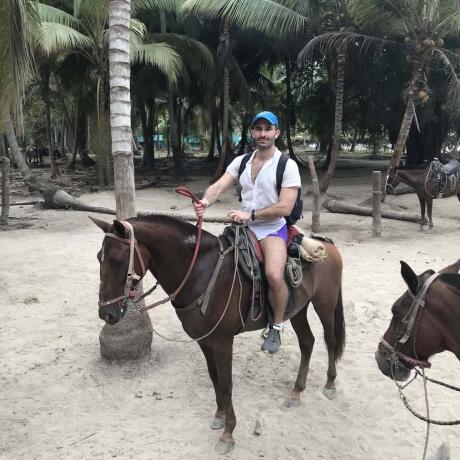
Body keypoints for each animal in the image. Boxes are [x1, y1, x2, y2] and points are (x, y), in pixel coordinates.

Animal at [92, 215, 344, 452]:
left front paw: (228, 434)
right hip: (297, 310)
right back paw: (296, 392)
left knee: (330, 340)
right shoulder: (205, 341)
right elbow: (215, 379)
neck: (200, 272)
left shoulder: (223, 341)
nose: (106, 313)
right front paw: (219, 416)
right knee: (307, 342)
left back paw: (330, 384)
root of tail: (328, 246)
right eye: (99, 257)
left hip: (324, 305)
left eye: (118, 259)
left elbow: (226, 383)